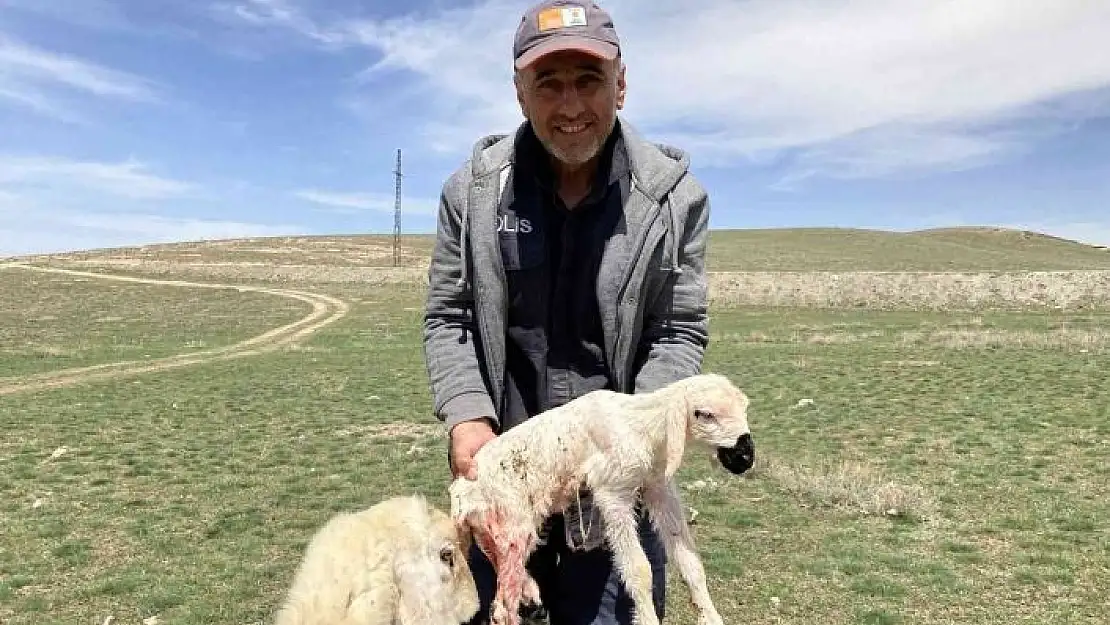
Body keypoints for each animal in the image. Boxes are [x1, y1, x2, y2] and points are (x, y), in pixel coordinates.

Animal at [448, 370, 754, 625]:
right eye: (705, 414)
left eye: (745, 408)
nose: (745, 457)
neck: (640, 427)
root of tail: (460, 496)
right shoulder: (612, 492)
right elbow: (639, 570)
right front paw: (647, 618)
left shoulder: (657, 485)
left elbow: (690, 560)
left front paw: (711, 617)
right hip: (511, 525)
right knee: (502, 609)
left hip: (493, 534)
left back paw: (530, 590)